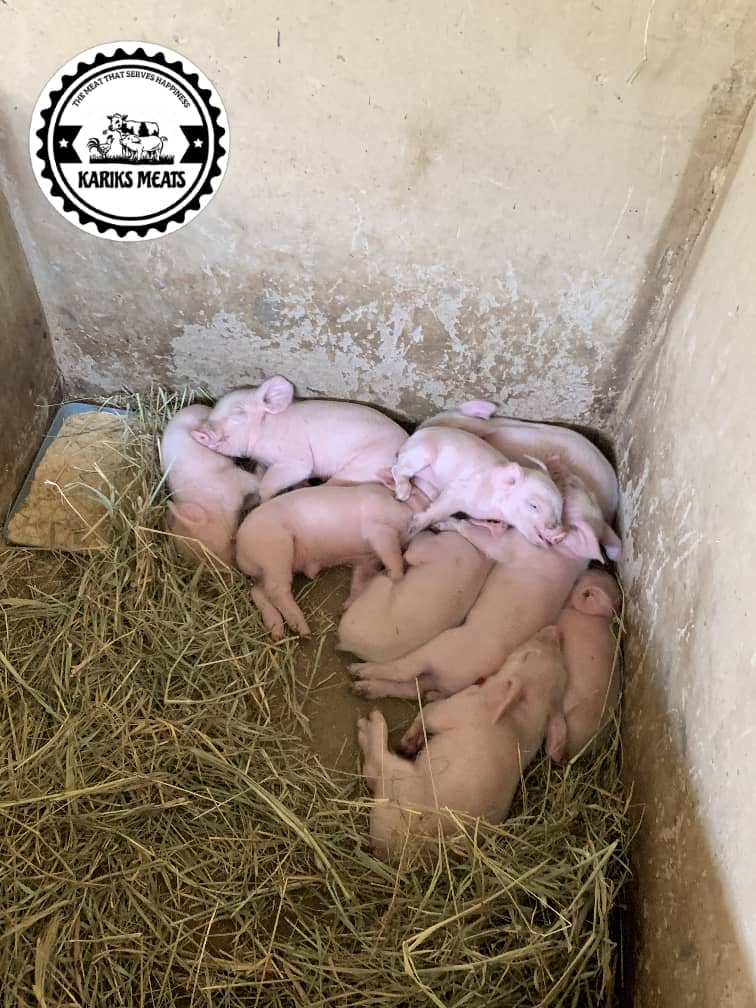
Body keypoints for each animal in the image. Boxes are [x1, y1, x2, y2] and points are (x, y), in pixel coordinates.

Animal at [191, 375, 408, 501]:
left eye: (239, 412)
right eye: (213, 411)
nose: (198, 432)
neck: (265, 429)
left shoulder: (293, 457)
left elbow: (271, 483)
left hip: (365, 467)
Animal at [235, 480, 430, 640]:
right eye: (417, 494)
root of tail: (240, 548)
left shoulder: (367, 560)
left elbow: (359, 582)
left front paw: (344, 609)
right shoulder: (379, 530)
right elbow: (392, 554)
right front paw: (397, 577)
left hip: (267, 568)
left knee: (258, 591)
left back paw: (277, 633)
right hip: (276, 553)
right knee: (276, 591)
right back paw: (303, 631)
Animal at [357, 626, 568, 860]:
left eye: (526, 656)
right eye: (564, 672)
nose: (556, 630)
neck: (524, 718)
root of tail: (389, 849)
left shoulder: (453, 707)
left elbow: (425, 713)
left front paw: (407, 741)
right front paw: (411, 742)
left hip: (399, 777)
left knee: (374, 765)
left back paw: (370, 719)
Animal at [390, 426, 565, 546]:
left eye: (560, 508)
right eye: (534, 505)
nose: (560, 533)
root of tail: (411, 438)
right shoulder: (457, 490)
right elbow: (437, 510)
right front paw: (408, 534)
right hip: (420, 455)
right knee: (397, 469)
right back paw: (403, 495)